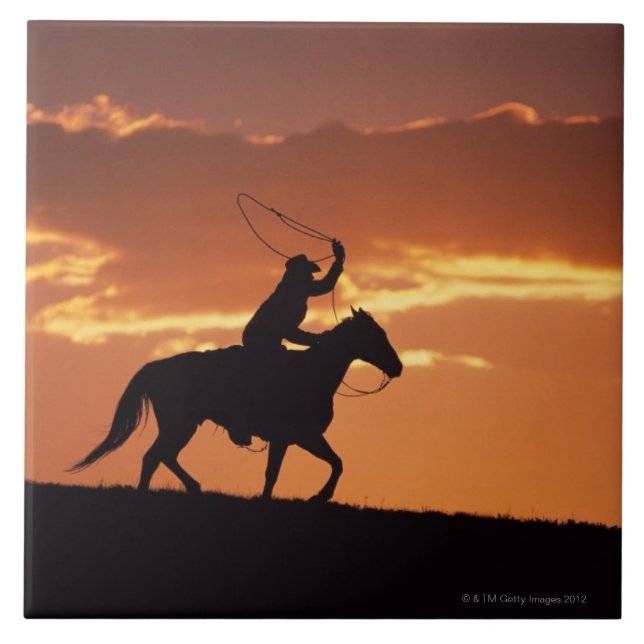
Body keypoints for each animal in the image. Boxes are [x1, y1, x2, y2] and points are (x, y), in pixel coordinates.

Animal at [70, 307, 403, 503]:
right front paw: (318, 497)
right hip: (180, 425)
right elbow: (319, 466)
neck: (313, 373)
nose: (398, 367)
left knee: (162, 456)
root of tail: (157, 366)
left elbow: (324, 464)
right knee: (155, 456)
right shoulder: (299, 437)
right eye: (376, 335)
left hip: (182, 426)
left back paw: (189, 487)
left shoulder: (296, 439)